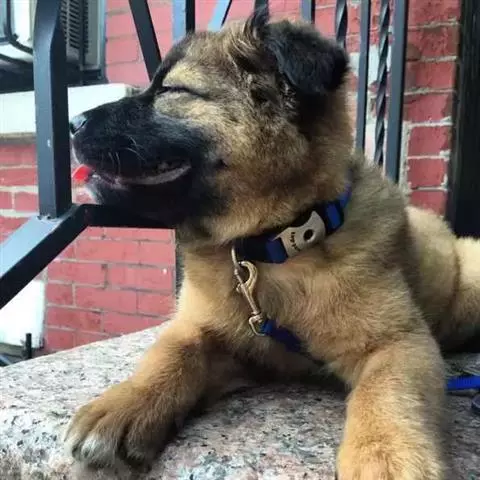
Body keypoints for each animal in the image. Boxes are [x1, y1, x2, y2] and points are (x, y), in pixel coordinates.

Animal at [65, 11, 480, 479]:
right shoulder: (218, 334)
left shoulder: (398, 342)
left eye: (173, 91)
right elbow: (173, 350)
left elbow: (388, 395)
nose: (72, 123)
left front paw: (386, 459)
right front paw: (124, 404)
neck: (272, 244)